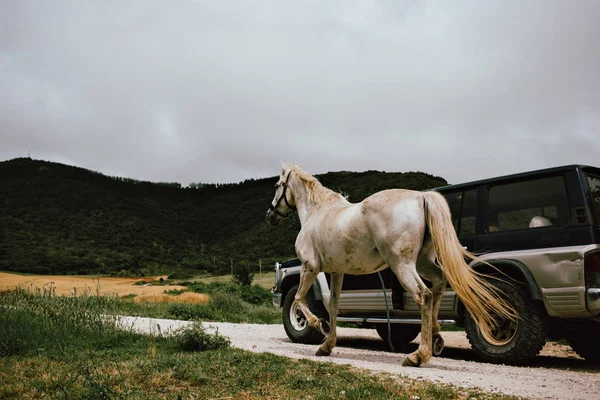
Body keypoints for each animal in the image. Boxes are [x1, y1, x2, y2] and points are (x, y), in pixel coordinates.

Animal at [268, 162, 516, 366]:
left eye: (278, 185)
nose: (270, 215)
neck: (317, 212)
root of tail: (420, 198)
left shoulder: (309, 267)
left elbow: (299, 299)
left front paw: (318, 324)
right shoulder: (337, 273)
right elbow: (334, 307)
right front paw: (327, 345)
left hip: (402, 265)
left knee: (424, 295)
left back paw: (418, 356)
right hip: (422, 263)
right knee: (438, 284)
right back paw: (435, 338)